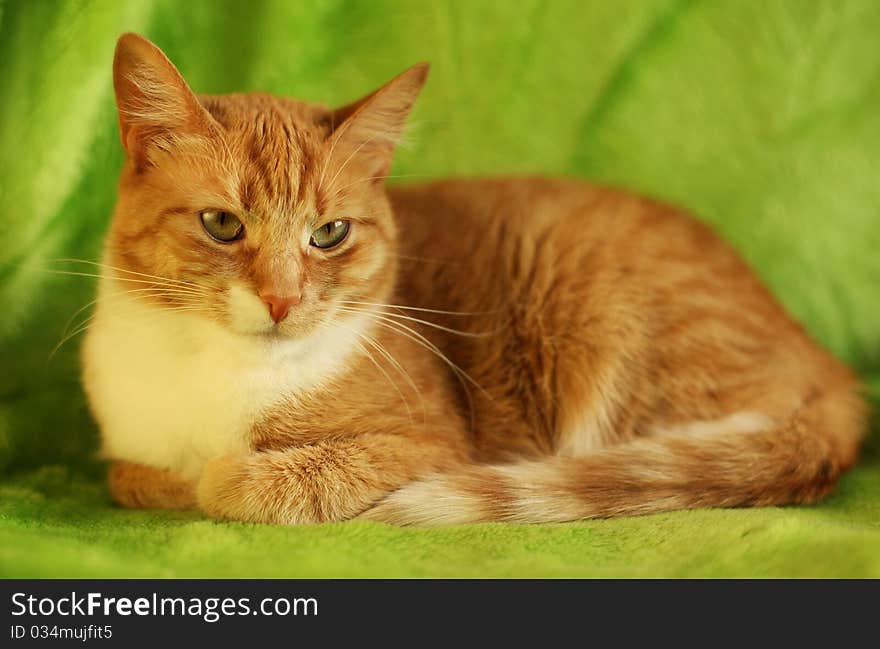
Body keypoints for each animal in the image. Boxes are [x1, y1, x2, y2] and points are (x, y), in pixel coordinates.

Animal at [82, 31, 868, 528]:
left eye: (329, 234)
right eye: (222, 224)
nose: (282, 298)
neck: (212, 372)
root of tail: (823, 359)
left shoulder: (428, 447)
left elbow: (245, 482)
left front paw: (222, 476)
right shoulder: (126, 450)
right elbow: (132, 476)